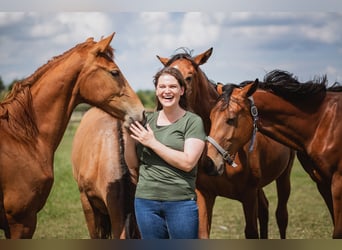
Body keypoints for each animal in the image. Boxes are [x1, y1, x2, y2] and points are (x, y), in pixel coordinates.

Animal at [157, 48, 294, 238]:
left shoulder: (248, 195)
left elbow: (251, 231)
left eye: (189, 77)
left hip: (284, 176)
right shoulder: (205, 193)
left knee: (281, 216)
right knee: (264, 209)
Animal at [206, 70, 342, 238]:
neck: (322, 122)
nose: (209, 162)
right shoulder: (322, 183)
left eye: (231, 119)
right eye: (211, 117)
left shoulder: (337, 184)